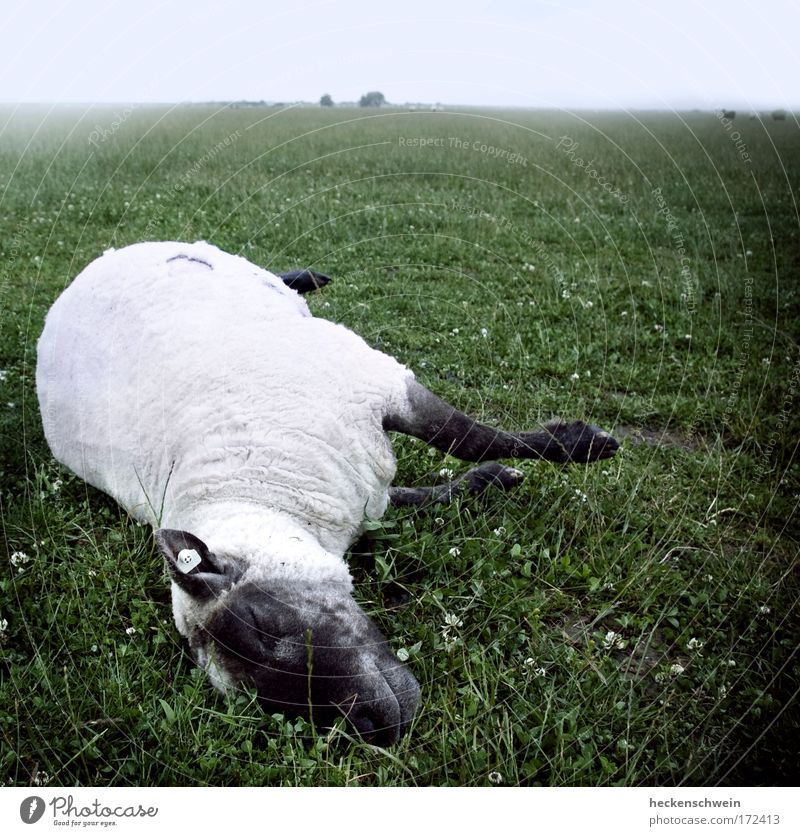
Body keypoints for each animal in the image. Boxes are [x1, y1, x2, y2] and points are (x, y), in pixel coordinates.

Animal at [36, 238, 620, 740]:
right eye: (253, 700)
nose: (376, 726)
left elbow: (468, 438)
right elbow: (430, 489)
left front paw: (581, 444)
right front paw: (491, 480)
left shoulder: (380, 384)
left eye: (263, 624)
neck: (259, 487)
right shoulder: (363, 489)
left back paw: (306, 278)